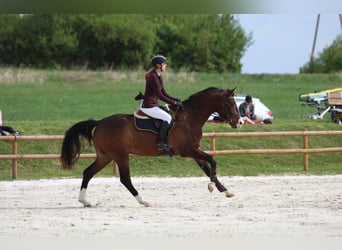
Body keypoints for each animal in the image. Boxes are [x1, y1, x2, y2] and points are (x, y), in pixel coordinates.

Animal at [60, 87, 243, 208]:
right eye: (229, 103)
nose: (240, 122)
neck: (189, 118)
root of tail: (99, 123)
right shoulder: (188, 151)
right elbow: (212, 161)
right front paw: (212, 186)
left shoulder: (194, 152)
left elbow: (208, 167)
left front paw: (225, 190)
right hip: (120, 155)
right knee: (125, 179)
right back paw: (143, 201)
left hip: (106, 156)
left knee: (88, 172)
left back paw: (84, 201)